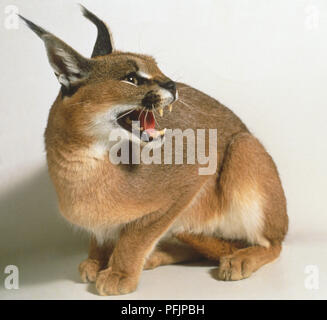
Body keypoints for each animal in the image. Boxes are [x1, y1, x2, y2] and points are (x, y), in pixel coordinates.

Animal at [20, 5, 288, 296]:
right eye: (131, 79)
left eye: (157, 68)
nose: (172, 84)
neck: (84, 157)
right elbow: (102, 233)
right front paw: (96, 260)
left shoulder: (188, 181)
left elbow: (137, 234)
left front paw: (119, 273)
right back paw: (160, 255)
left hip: (243, 147)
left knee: (273, 243)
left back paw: (240, 259)